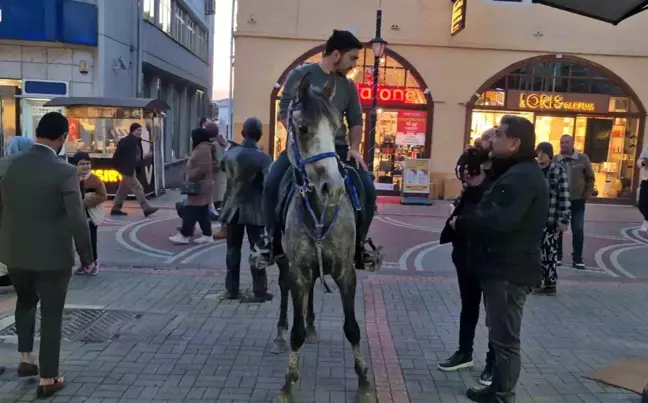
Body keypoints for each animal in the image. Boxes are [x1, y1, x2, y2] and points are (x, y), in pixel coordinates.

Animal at [272, 73, 374, 403]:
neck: (319, 209)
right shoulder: (298, 271)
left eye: (337, 127)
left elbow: (352, 328)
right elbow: (296, 332)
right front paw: (288, 383)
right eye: (303, 128)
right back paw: (280, 334)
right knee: (283, 291)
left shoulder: (346, 272)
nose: (335, 187)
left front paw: (364, 381)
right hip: (284, 263)